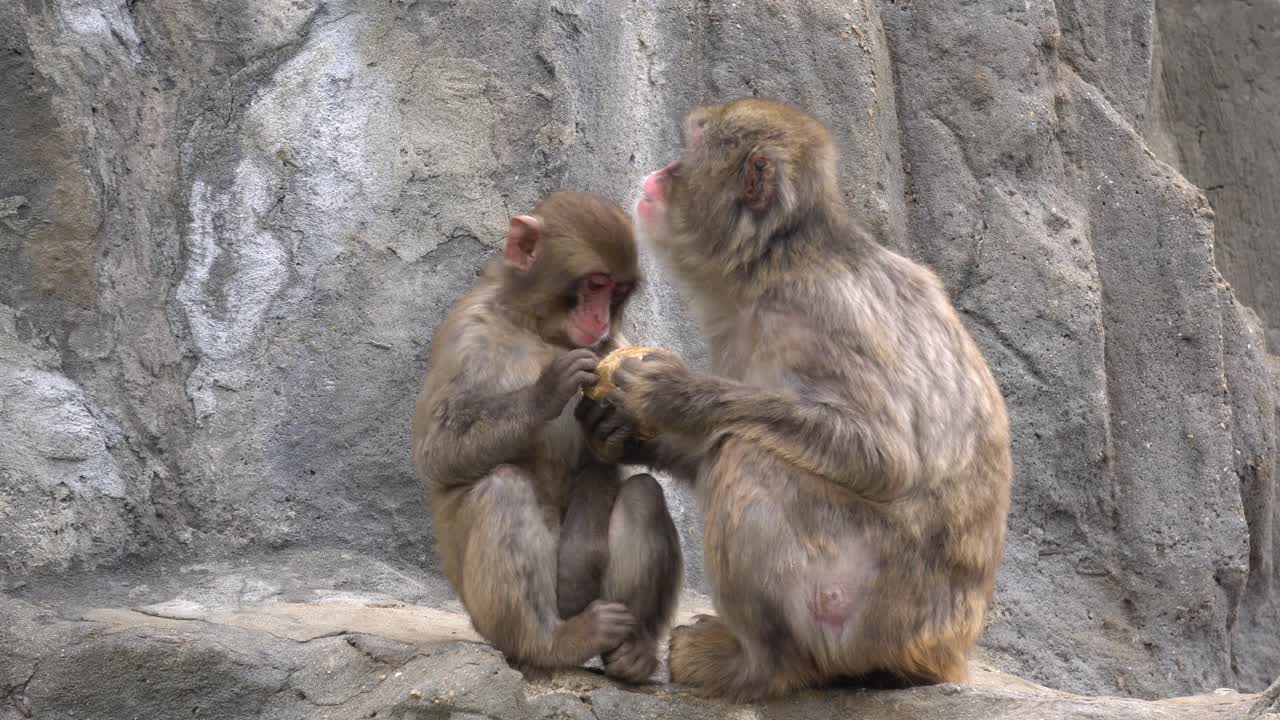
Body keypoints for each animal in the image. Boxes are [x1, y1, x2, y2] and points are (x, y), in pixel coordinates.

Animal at [411, 191, 683, 683]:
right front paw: (547, 391)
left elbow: (605, 457)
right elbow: (436, 452)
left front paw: (608, 428)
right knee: (503, 488)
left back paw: (631, 652)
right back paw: (551, 643)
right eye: (595, 284)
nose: (598, 316)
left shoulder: (612, 344)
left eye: (617, 292)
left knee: (644, 495)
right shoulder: (466, 330)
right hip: (482, 611)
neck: (535, 326)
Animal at [583, 98, 1013, 701]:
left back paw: (762, 665)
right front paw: (624, 434)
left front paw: (669, 392)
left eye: (692, 148)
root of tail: (942, 652)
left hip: (857, 609)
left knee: (747, 455)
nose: (663, 171)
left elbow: (884, 456)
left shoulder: (820, 310)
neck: (773, 262)